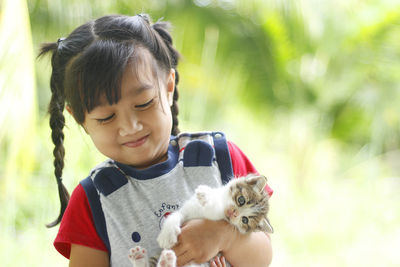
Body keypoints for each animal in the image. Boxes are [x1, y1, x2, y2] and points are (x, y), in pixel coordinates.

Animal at [130, 175, 274, 267]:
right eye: (241, 200)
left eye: (244, 220)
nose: (234, 213)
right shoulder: (188, 209)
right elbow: (176, 215)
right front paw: (167, 234)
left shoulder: (217, 217)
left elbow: (213, 210)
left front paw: (207, 196)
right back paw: (140, 257)